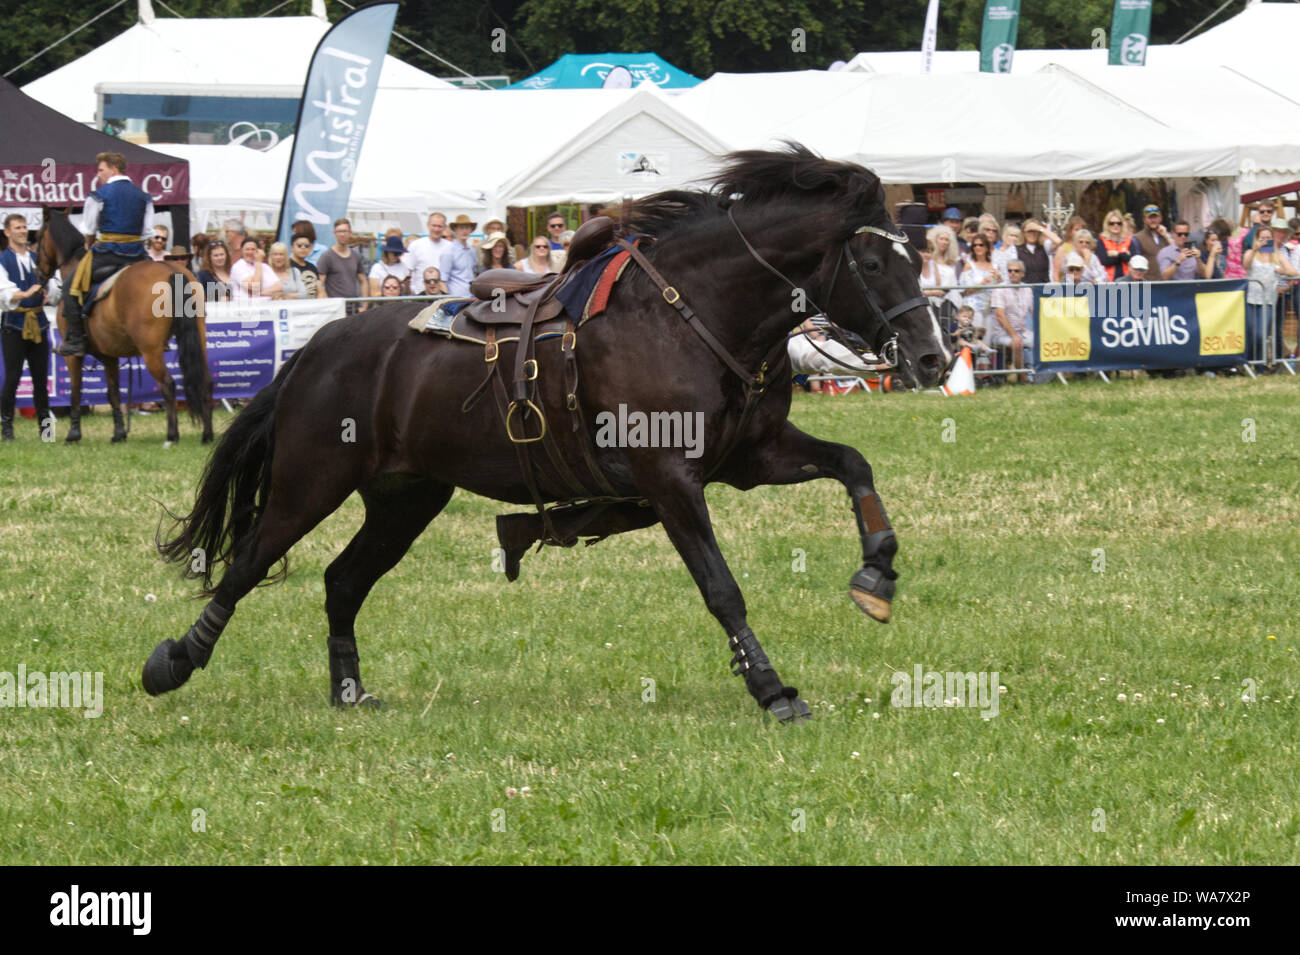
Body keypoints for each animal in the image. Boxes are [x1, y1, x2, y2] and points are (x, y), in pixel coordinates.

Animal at [38, 207, 213, 444]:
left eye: (37, 237)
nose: (38, 275)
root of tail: (170, 269)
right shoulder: (109, 356)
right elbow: (113, 393)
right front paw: (119, 433)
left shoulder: (73, 356)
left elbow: (76, 392)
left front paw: (73, 434)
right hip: (198, 338)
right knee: (206, 381)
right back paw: (207, 435)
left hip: (151, 350)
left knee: (167, 384)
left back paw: (171, 436)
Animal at [144, 145, 956, 722]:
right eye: (872, 258)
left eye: (917, 254)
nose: (932, 357)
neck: (693, 312)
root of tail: (314, 349)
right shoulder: (671, 480)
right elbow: (723, 589)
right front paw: (771, 688)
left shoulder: (751, 457)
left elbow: (853, 465)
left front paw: (876, 575)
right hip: (311, 481)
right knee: (246, 564)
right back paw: (172, 663)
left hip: (406, 497)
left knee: (342, 579)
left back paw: (350, 691)